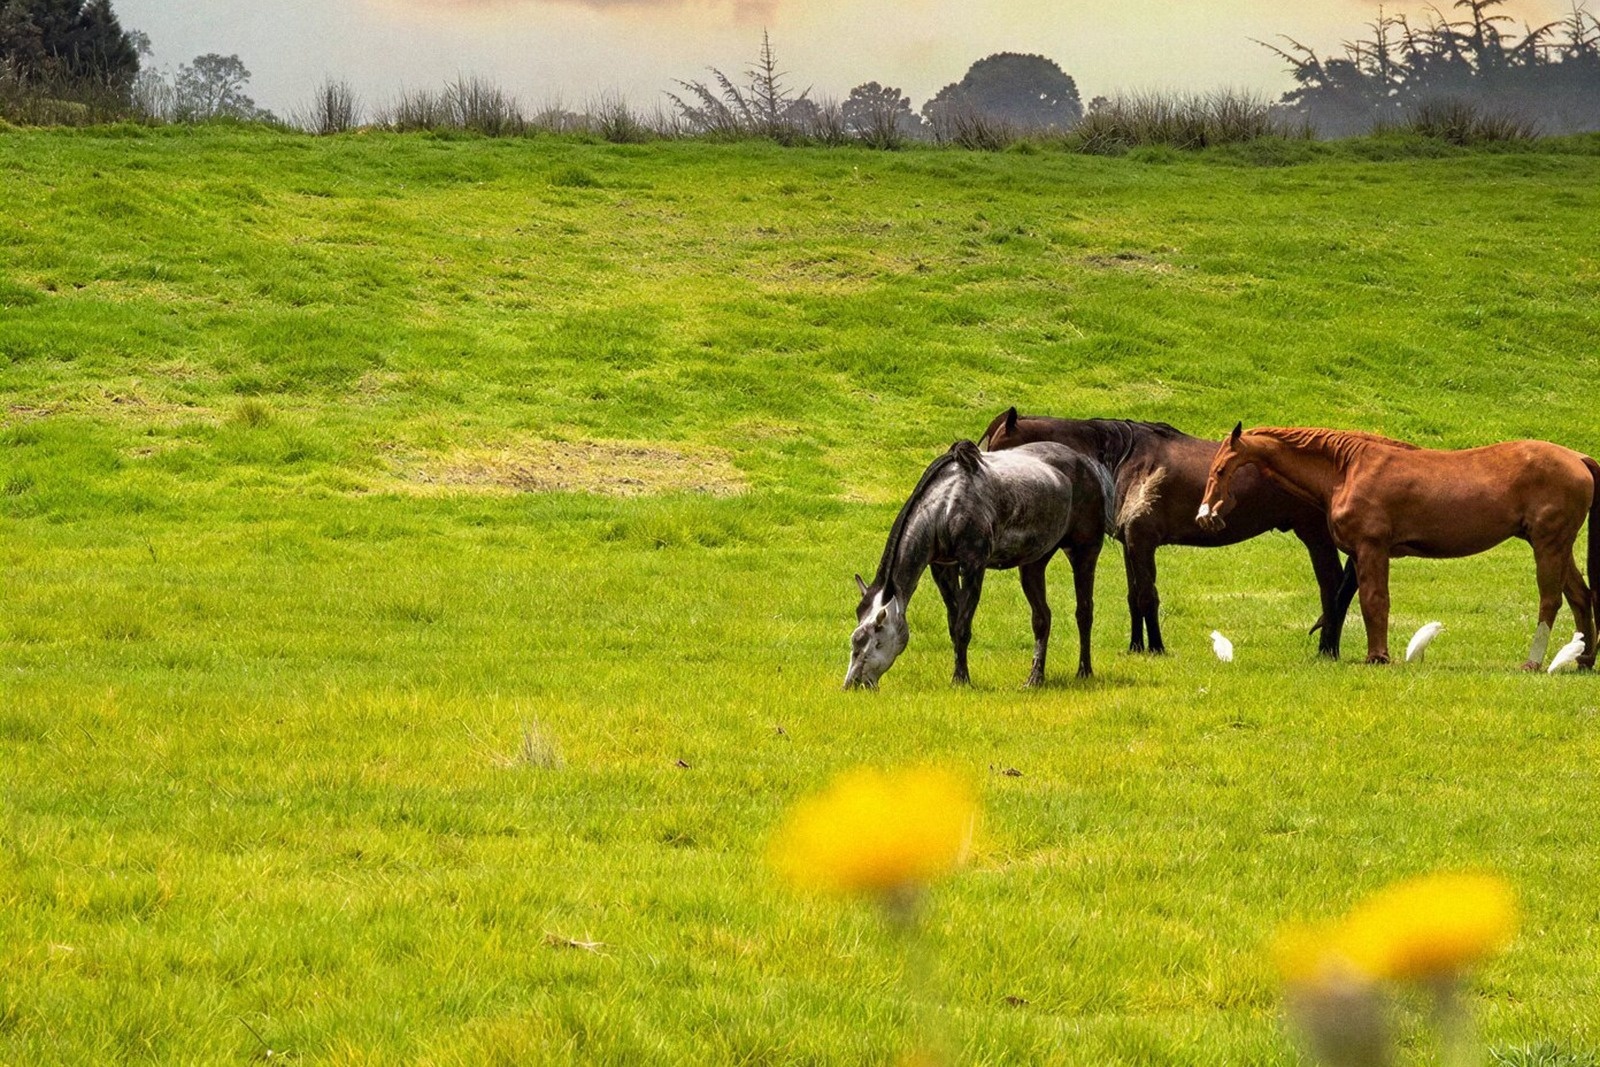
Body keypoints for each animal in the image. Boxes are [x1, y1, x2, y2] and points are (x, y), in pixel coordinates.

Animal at [844, 439, 1112, 690]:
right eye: (855, 640)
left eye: (877, 640)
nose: (853, 683)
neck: (947, 503)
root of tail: (1086, 464)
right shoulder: (943, 568)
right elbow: (954, 624)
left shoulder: (973, 565)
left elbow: (963, 626)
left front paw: (961, 679)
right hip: (1033, 564)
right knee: (1042, 618)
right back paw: (1035, 678)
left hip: (1083, 553)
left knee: (1084, 612)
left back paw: (1084, 671)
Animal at [979, 407, 1355, 658]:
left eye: (995, 446)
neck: (1124, 460)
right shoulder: (1131, 545)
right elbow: (1134, 597)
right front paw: (1136, 647)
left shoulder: (1143, 540)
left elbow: (1148, 596)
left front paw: (1157, 648)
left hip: (1315, 536)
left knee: (1332, 586)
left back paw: (1327, 650)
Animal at [1197, 424, 1600, 669]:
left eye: (1220, 470)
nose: (1205, 515)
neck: (1348, 469)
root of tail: (1578, 458)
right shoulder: (1360, 555)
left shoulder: (1371, 549)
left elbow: (1374, 601)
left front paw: (1378, 656)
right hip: (1557, 548)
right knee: (1581, 597)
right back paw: (1583, 659)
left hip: (1548, 545)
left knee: (1551, 601)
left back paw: (1534, 661)